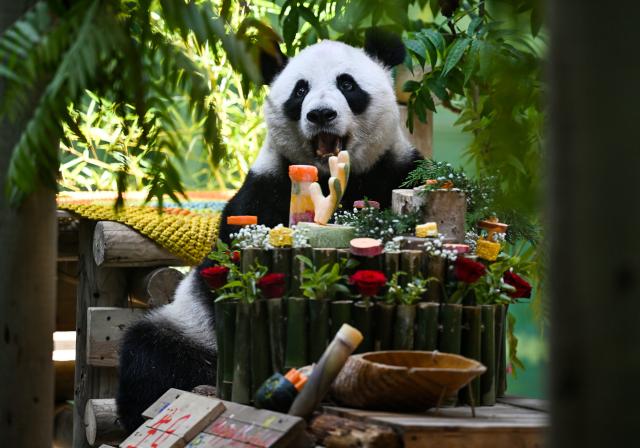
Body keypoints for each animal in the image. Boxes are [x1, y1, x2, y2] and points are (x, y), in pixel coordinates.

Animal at [117, 31, 422, 432]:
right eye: (300, 90)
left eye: (347, 84)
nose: (320, 114)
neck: (329, 176)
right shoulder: (264, 189)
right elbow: (226, 268)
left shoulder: (396, 171)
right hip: (188, 328)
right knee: (150, 355)